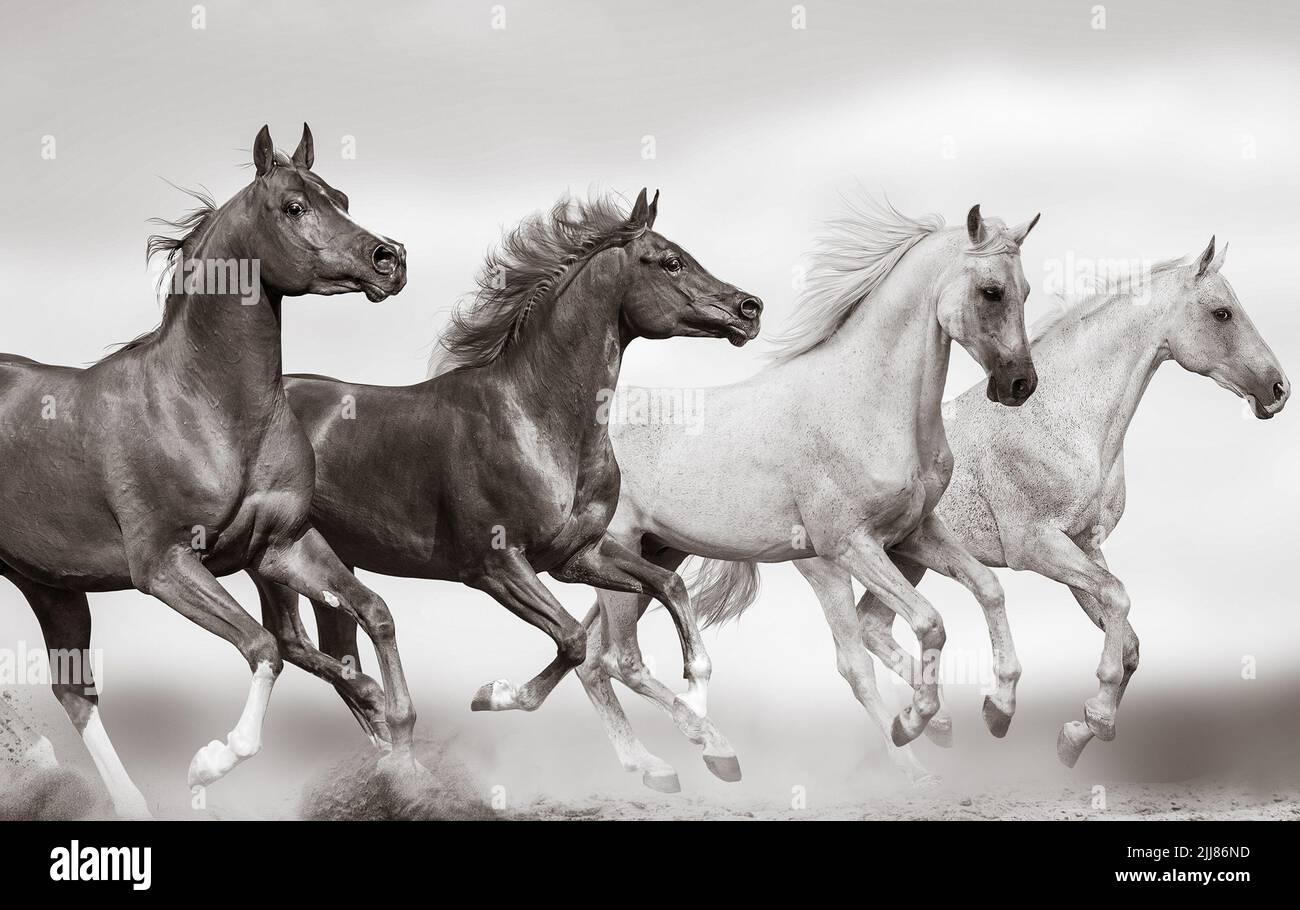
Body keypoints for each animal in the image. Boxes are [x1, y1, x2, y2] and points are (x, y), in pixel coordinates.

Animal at [0, 124, 417, 818]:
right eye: (293, 207)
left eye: (342, 197)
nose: (390, 259)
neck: (205, 406)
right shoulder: (165, 565)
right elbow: (263, 647)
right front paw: (207, 764)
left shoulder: (280, 546)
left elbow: (373, 612)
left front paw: (403, 746)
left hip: (49, 584)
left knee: (75, 693)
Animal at [249, 189, 764, 787]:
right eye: (670, 261)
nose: (750, 308)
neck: (536, 419)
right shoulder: (496, 568)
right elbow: (574, 640)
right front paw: (496, 695)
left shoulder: (576, 556)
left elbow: (667, 586)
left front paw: (708, 728)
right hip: (283, 559)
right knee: (301, 644)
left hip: (332, 562)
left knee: (329, 649)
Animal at [496, 197, 1042, 788]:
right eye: (992, 291)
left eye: (1026, 289)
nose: (1020, 385)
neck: (868, 404)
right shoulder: (842, 551)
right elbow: (905, 636)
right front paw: (912, 737)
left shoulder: (913, 534)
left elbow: (987, 588)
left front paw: (997, 709)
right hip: (620, 560)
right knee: (617, 659)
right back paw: (711, 752)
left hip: (650, 558)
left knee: (594, 657)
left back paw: (650, 764)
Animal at [690, 235, 1289, 776]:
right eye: (1222, 312)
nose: (1278, 389)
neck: (1069, 420)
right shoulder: (1037, 547)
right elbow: (1118, 603)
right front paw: (1082, 719)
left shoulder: (1084, 546)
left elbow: (1128, 640)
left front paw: (1073, 736)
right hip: (832, 567)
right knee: (853, 659)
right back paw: (913, 758)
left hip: (902, 559)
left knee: (875, 628)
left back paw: (938, 722)